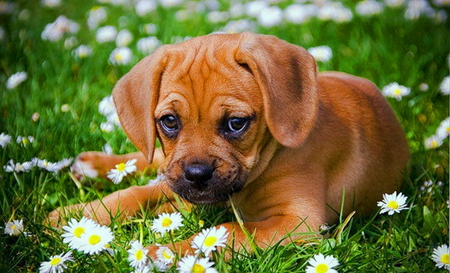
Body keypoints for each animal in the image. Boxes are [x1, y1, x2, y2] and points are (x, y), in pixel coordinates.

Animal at [47, 33, 410, 256]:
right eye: (169, 121)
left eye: (236, 123)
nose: (197, 175)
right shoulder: (179, 182)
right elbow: (133, 194)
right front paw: (77, 217)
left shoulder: (298, 223)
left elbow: (225, 230)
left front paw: (163, 254)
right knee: (149, 164)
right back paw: (94, 166)